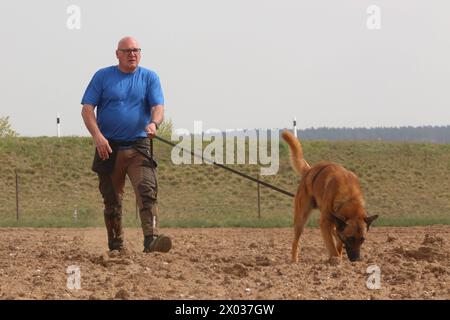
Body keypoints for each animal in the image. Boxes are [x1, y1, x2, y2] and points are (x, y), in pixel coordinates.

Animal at [284, 131, 378, 262]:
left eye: (362, 239)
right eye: (350, 238)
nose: (356, 260)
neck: (349, 198)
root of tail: (309, 170)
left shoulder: (337, 226)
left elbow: (338, 244)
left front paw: (338, 257)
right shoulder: (325, 223)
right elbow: (332, 247)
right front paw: (336, 260)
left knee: (335, 234)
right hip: (301, 220)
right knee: (295, 241)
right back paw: (294, 260)